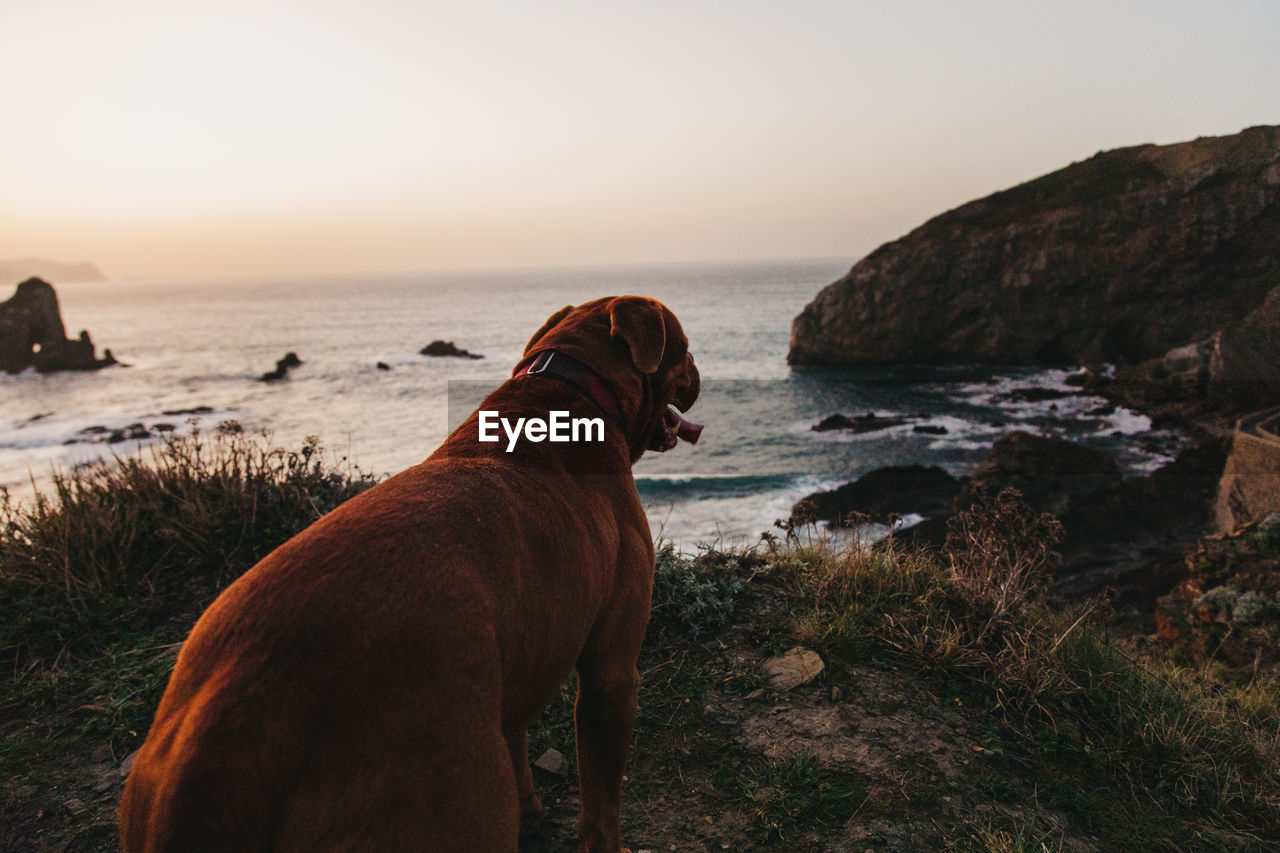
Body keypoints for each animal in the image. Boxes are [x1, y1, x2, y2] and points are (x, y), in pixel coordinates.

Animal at [120, 295, 701, 845]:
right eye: (686, 346)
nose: (699, 368)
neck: (570, 388)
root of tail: (232, 713)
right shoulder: (611, 674)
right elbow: (601, 800)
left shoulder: (514, 664)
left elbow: (516, 738)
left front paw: (530, 816)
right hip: (435, 791)